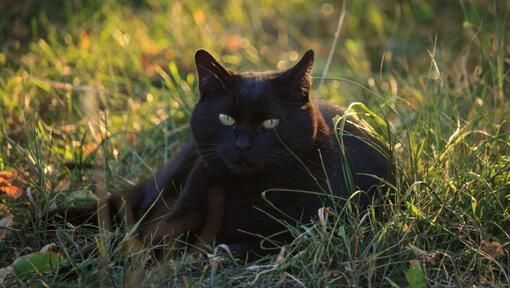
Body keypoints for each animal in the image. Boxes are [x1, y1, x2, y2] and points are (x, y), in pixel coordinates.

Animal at [62, 49, 390, 258]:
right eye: (226, 119)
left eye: (270, 123)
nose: (242, 145)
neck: (243, 189)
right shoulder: (176, 218)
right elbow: (141, 244)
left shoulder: (315, 227)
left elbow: (257, 244)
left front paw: (220, 251)